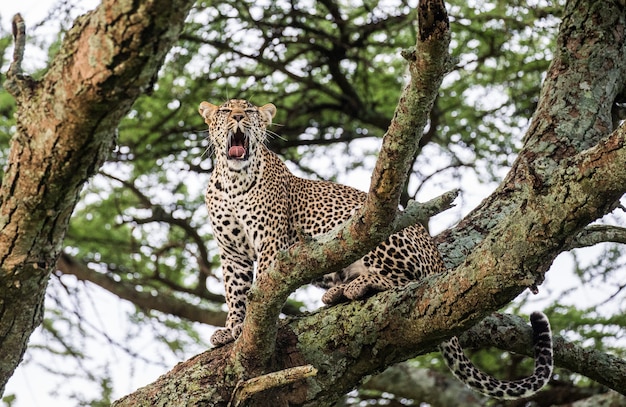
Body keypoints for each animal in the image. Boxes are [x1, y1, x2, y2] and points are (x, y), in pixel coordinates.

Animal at [196, 99, 552, 402]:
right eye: (226, 110)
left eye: (250, 111)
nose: (238, 117)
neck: (232, 181)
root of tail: (438, 260)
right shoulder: (232, 252)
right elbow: (235, 291)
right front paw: (232, 329)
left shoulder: (272, 242)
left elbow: (260, 289)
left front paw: (246, 325)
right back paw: (337, 292)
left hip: (375, 229)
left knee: (409, 284)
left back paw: (360, 285)